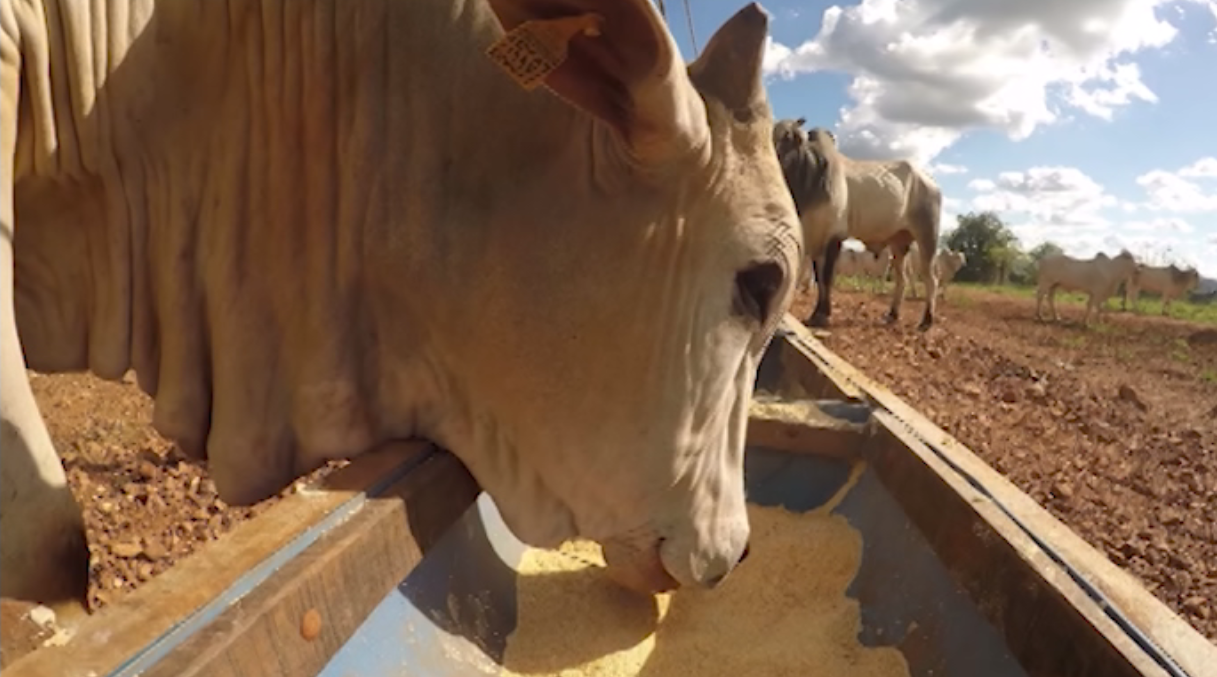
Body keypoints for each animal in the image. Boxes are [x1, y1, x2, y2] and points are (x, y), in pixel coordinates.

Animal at [769, 121, 939, 333]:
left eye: (787, 138)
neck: (814, 176)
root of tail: (930, 182)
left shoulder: (834, 237)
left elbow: (826, 278)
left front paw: (822, 316)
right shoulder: (815, 239)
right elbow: (819, 278)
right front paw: (817, 314)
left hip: (927, 236)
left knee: (931, 279)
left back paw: (926, 321)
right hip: (899, 244)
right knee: (902, 279)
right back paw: (892, 315)